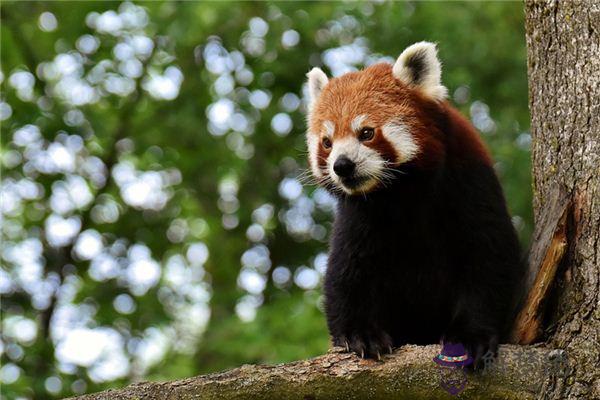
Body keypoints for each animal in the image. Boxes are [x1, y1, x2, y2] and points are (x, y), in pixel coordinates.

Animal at [308, 41, 524, 368]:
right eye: (327, 142)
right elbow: (346, 271)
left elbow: (488, 257)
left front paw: (469, 336)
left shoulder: (470, 183)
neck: (400, 193)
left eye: (366, 133)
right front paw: (361, 334)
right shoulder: (358, 215)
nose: (342, 166)